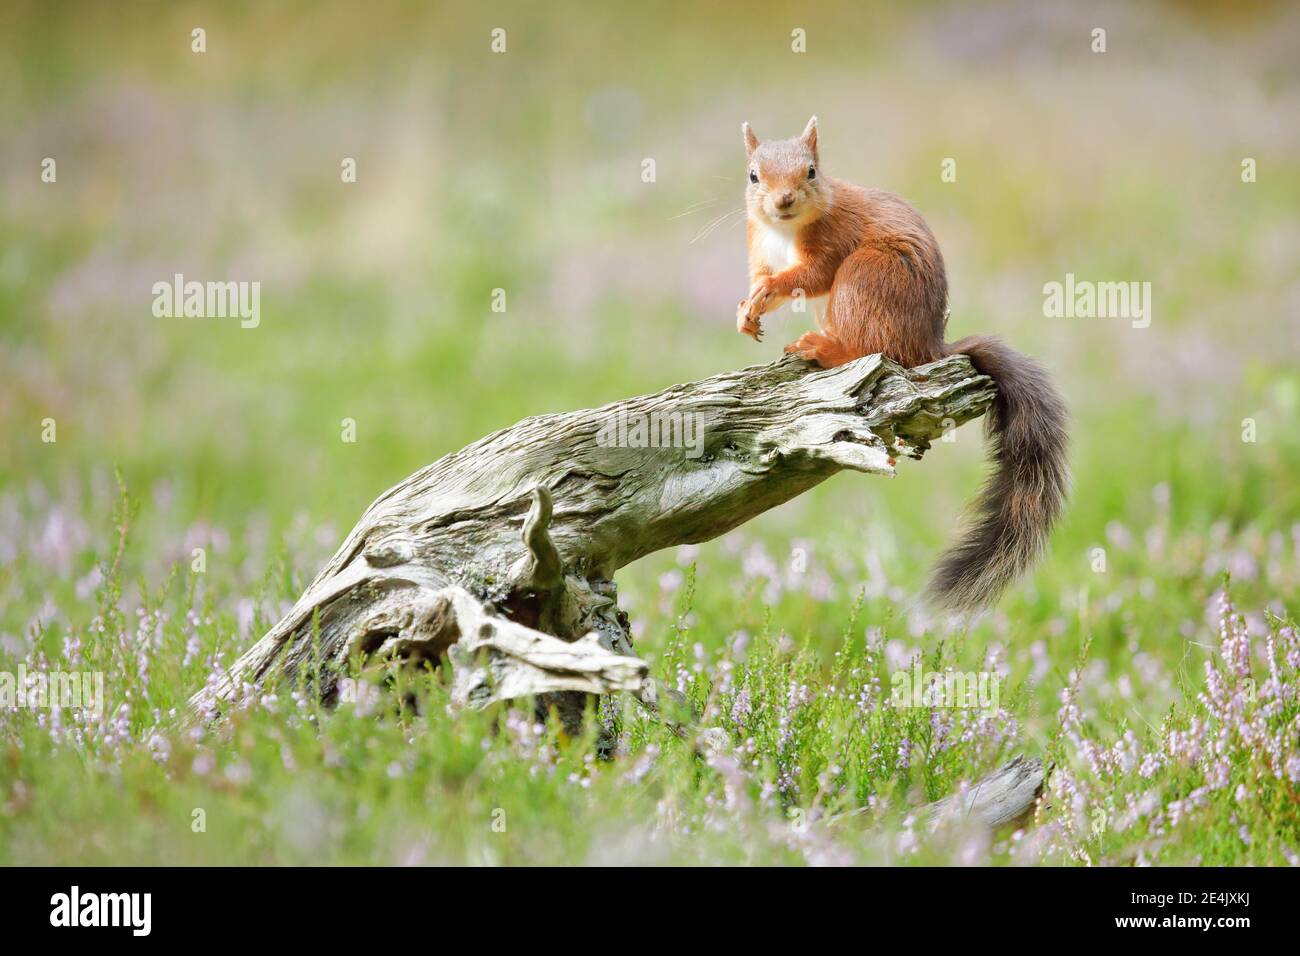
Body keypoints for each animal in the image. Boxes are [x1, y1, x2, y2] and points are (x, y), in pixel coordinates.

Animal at [738, 115, 1071, 608]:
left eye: (812, 171)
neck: (785, 231)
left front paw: (767, 292)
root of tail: (928, 347)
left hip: (863, 277)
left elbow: (810, 275)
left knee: (875, 349)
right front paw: (748, 309)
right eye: (753, 176)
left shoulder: (832, 240)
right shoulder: (758, 245)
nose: (784, 201)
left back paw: (826, 349)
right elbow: (765, 278)